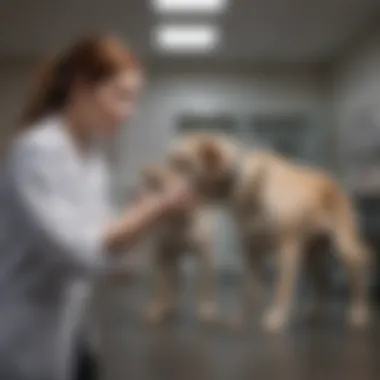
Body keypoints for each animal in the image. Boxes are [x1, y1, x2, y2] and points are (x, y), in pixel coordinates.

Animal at [140, 165, 218, 326]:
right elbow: (160, 284)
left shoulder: (205, 255)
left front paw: (207, 310)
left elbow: (206, 285)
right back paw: (169, 305)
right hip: (171, 258)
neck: (179, 220)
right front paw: (156, 309)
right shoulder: (161, 253)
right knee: (171, 282)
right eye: (155, 185)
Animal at [168, 133, 370, 332]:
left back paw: (358, 313)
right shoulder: (251, 252)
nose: (160, 178)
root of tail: (331, 180)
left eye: (180, 162)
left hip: (344, 247)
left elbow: (281, 287)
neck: (249, 186)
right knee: (324, 283)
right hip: (311, 255)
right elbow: (248, 291)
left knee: (357, 272)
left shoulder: (287, 249)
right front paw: (242, 320)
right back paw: (315, 315)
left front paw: (276, 318)